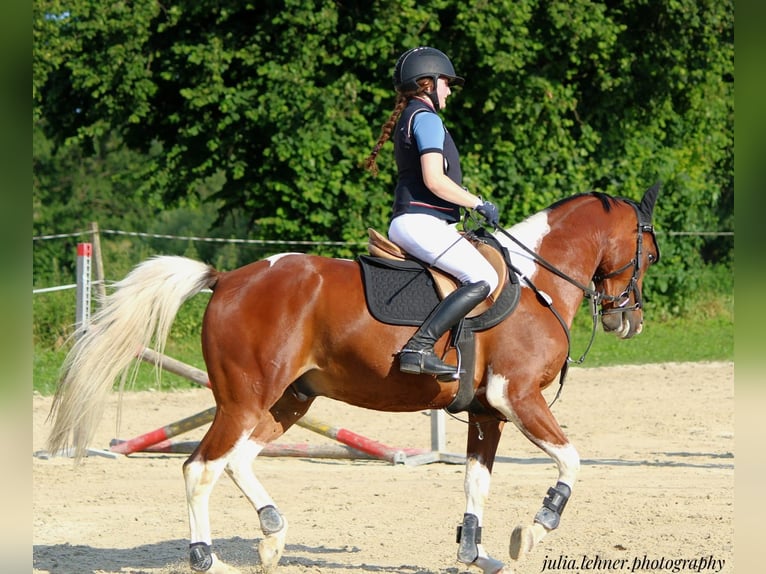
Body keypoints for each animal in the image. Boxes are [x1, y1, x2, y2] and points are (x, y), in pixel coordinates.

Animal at [48, 186, 664, 574]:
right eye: (650, 253)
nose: (629, 320)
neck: (537, 280)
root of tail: (226, 280)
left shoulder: (487, 413)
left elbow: (476, 483)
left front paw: (474, 554)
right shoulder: (516, 397)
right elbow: (571, 460)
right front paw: (534, 529)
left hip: (288, 401)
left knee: (237, 460)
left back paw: (272, 537)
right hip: (245, 399)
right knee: (201, 467)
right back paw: (209, 559)